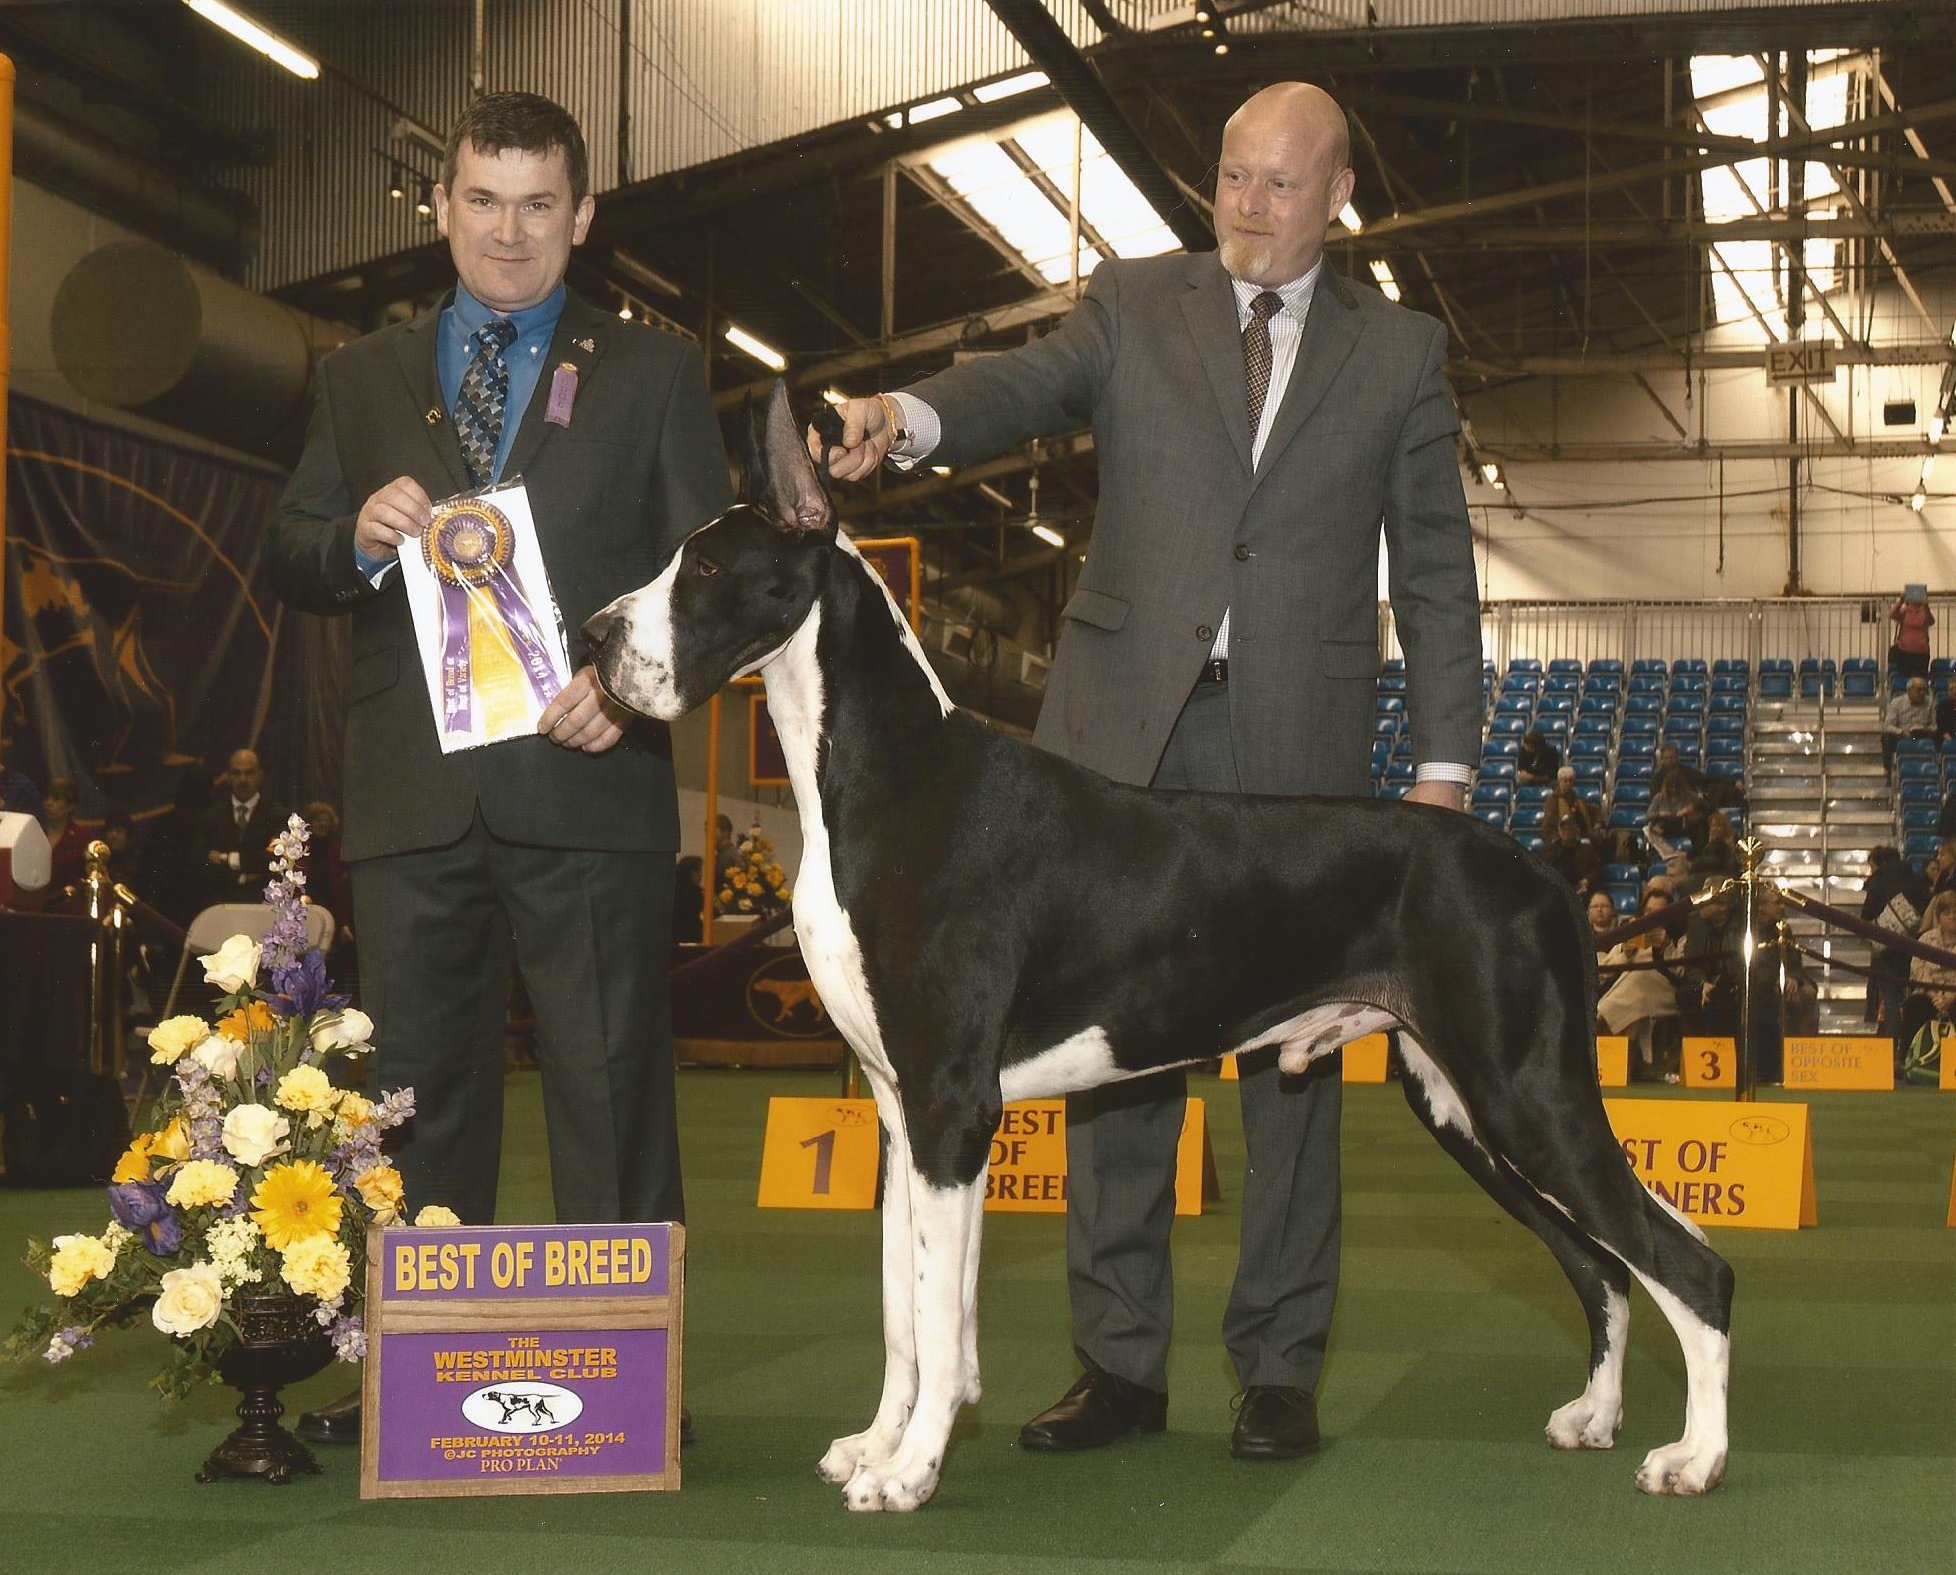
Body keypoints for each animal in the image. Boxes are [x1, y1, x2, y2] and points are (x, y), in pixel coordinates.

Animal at [575, 381, 1729, 1510]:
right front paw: (878, 1443)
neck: (885, 776)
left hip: (1524, 1093)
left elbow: (939, 1321)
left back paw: (1695, 1458)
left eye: (706, 569)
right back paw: (1595, 1415)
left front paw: (910, 1472)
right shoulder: (903, 1113)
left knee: (1686, 1263)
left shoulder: (952, 1104)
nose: (590, 637)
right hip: (1464, 1105)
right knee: (1606, 1267)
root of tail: (1539, 869)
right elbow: (909, 1312)